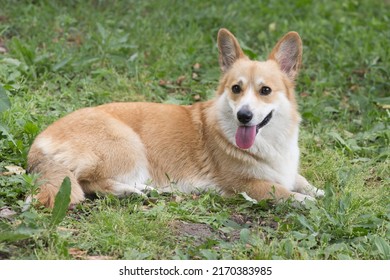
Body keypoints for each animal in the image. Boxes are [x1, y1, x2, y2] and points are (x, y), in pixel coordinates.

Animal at [27, 28, 324, 208]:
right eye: (236, 89)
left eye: (265, 91)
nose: (244, 116)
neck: (269, 141)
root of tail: (38, 142)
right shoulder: (245, 185)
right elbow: (284, 192)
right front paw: (312, 202)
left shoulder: (287, 171)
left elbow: (303, 182)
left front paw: (321, 192)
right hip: (129, 144)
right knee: (88, 182)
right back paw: (130, 192)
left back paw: (151, 190)